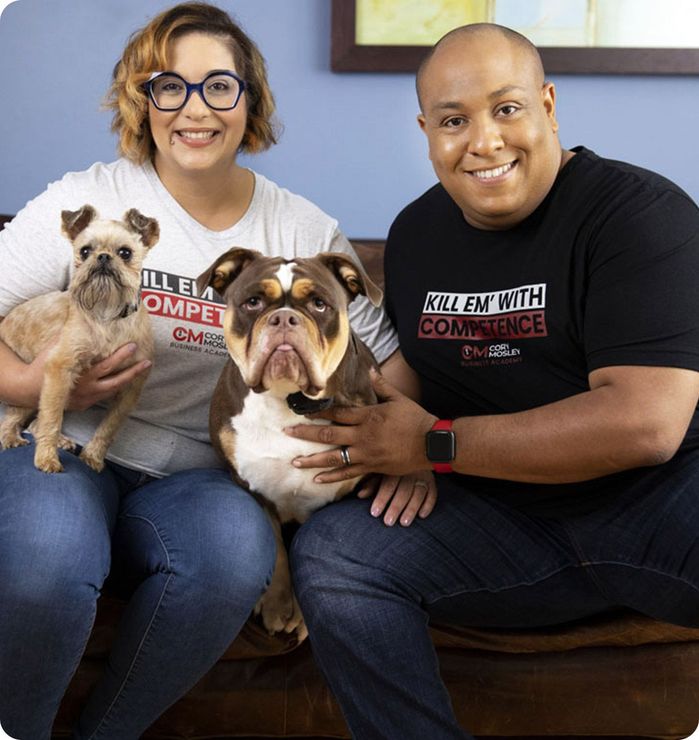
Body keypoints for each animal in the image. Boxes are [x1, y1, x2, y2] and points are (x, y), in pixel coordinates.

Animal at [0, 205, 159, 472]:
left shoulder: (130, 389)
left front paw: (93, 456)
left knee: (33, 423)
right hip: (28, 393)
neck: (107, 314)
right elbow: (52, 418)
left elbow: (109, 426)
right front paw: (46, 458)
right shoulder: (59, 371)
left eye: (125, 253)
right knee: (13, 420)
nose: (103, 257)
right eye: (85, 251)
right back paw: (12, 438)